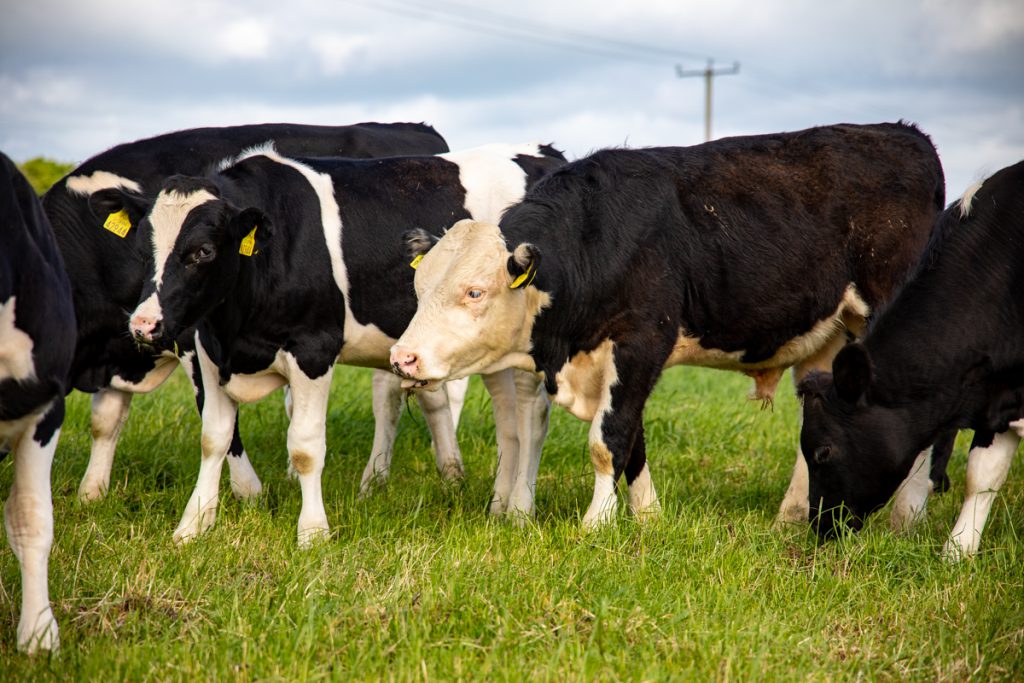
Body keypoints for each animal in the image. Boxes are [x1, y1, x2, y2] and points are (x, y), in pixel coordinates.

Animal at [41, 122, 452, 504]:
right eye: (142, 250)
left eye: (204, 251)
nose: (144, 324)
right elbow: (106, 420)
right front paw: (92, 492)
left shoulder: (196, 342)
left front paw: (248, 491)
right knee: (401, 396)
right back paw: (398, 478)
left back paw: (436, 474)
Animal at [123, 143, 565, 545]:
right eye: (143, 250)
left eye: (204, 251)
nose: (144, 324)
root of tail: (542, 154)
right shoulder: (209, 350)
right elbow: (214, 438)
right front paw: (193, 526)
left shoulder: (313, 349)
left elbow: (305, 447)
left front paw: (313, 532)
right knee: (507, 419)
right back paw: (497, 505)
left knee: (531, 414)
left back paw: (519, 511)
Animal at [389, 122, 950, 530]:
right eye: (420, 286)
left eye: (474, 292)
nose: (402, 358)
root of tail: (904, 134)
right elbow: (632, 439)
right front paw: (647, 515)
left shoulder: (641, 341)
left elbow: (608, 438)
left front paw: (597, 523)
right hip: (828, 336)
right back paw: (790, 515)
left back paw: (907, 517)